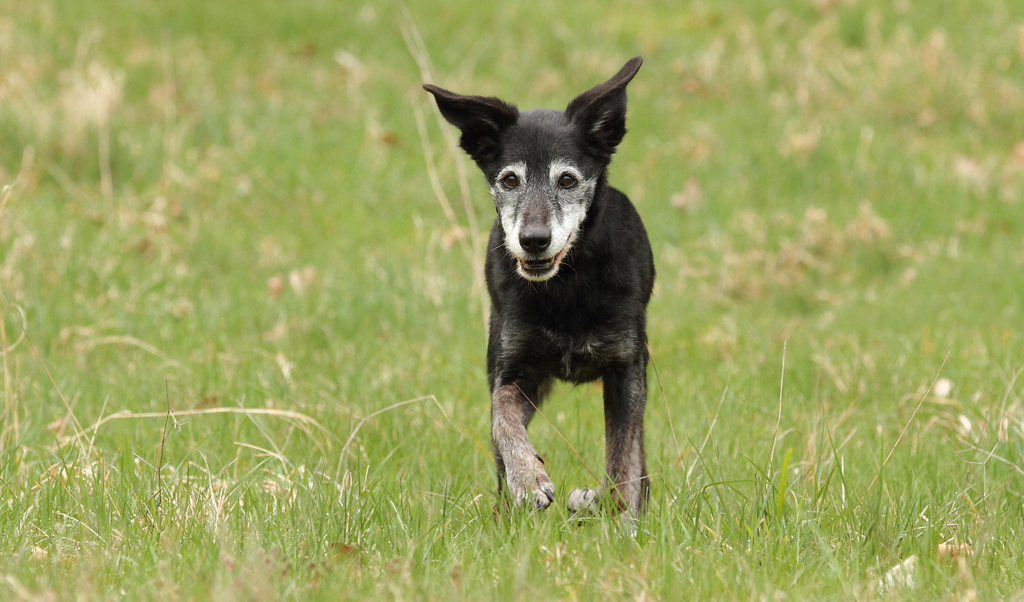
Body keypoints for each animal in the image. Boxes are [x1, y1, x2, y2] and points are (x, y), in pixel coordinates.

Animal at [425, 57, 655, 518]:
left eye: (567, 180)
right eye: (510, 180)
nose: (533, 240)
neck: (564, 287)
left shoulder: (626, 368)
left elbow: (623, 457)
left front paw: (615, 511)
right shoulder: (514, 369)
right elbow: (502, 417)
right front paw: (530, 479)